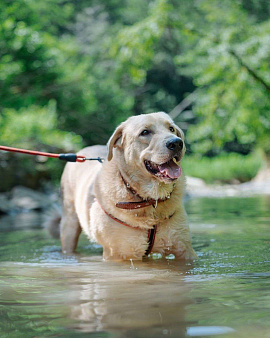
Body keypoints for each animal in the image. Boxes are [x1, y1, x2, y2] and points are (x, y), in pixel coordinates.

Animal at [52, 112, 196, 260]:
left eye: (171, 129)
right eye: (145, 132)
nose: (177, 143)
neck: (150, 201)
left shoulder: (184, 249)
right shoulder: (119, 254)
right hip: (69, 225)